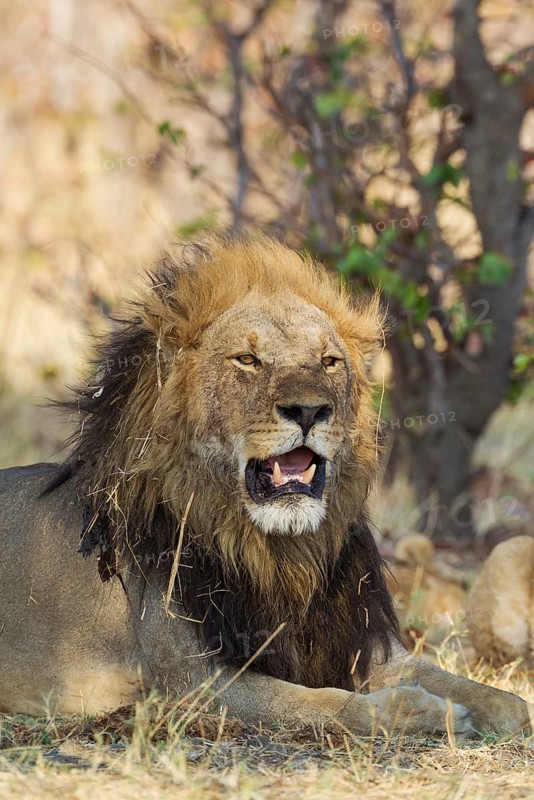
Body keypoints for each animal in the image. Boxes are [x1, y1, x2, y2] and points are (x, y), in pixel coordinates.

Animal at [0, 233, 531, 737]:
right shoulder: (191, 683)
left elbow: (485, 692)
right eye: (247, 360)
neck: (280, 555)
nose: (309, 411)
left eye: (329, 361)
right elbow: (320, 703)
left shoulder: (369, 648)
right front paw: (418, 711)